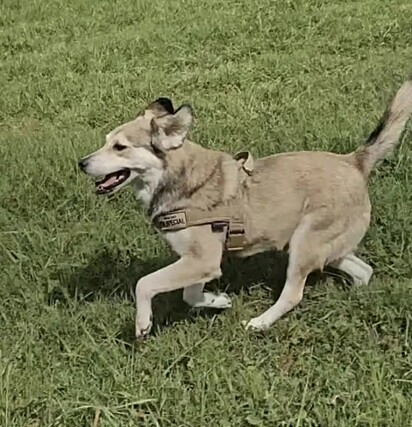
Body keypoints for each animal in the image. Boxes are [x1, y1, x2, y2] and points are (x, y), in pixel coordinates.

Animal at [79, 77, 412, 338]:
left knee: (293, 294)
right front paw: (218, 301)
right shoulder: (199, 262)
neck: (179, 177)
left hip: (305, 243)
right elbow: (190, 294)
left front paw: (143, 323)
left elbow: (145, 283)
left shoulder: (202, 259)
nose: (81, 163)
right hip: (325, 246)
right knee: (363, 270)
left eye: (120, 147)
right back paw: (357, 297)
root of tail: (354, 161)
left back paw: (260, 323)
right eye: (106, 141)